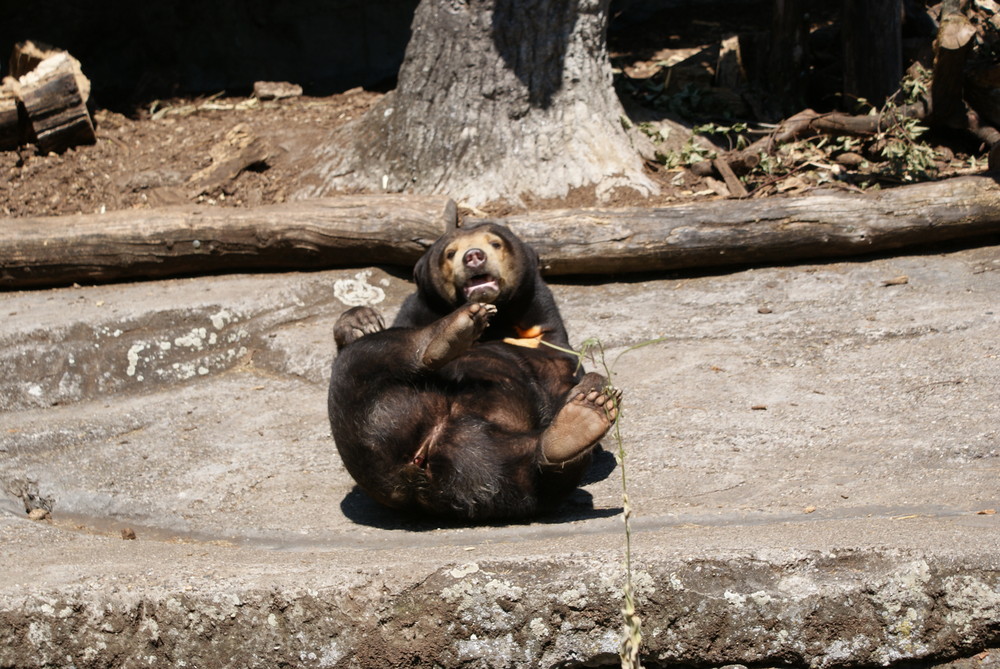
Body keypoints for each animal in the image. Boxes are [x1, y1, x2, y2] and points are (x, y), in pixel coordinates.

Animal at [328, 222, 616, 520]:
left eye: (495, 243)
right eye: (450, 253)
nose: (474, 256)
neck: (498, 322)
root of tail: (412, 473)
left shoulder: (548, 344)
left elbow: (564, 380)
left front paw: (593, 390)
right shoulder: (414, 314)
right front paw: (361, 320)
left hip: (491, 468)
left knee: (537, 475)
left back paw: (580, 422)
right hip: (360, 404)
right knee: (372, 350)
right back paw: (452, 330)